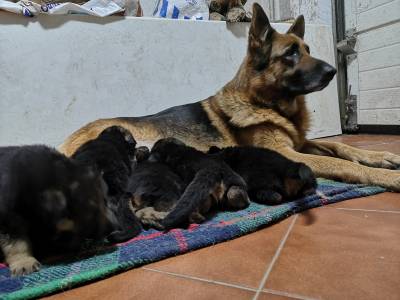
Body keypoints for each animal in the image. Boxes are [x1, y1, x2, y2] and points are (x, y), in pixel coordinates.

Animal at [59, 3, 400, 192]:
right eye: (290, 54)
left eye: (307, 50)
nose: (333, 70)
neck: (269, 104)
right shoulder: (288, 152)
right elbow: (343, 164)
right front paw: (385, 176)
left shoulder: (300, 143)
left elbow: (341, 147)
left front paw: (383, 157)